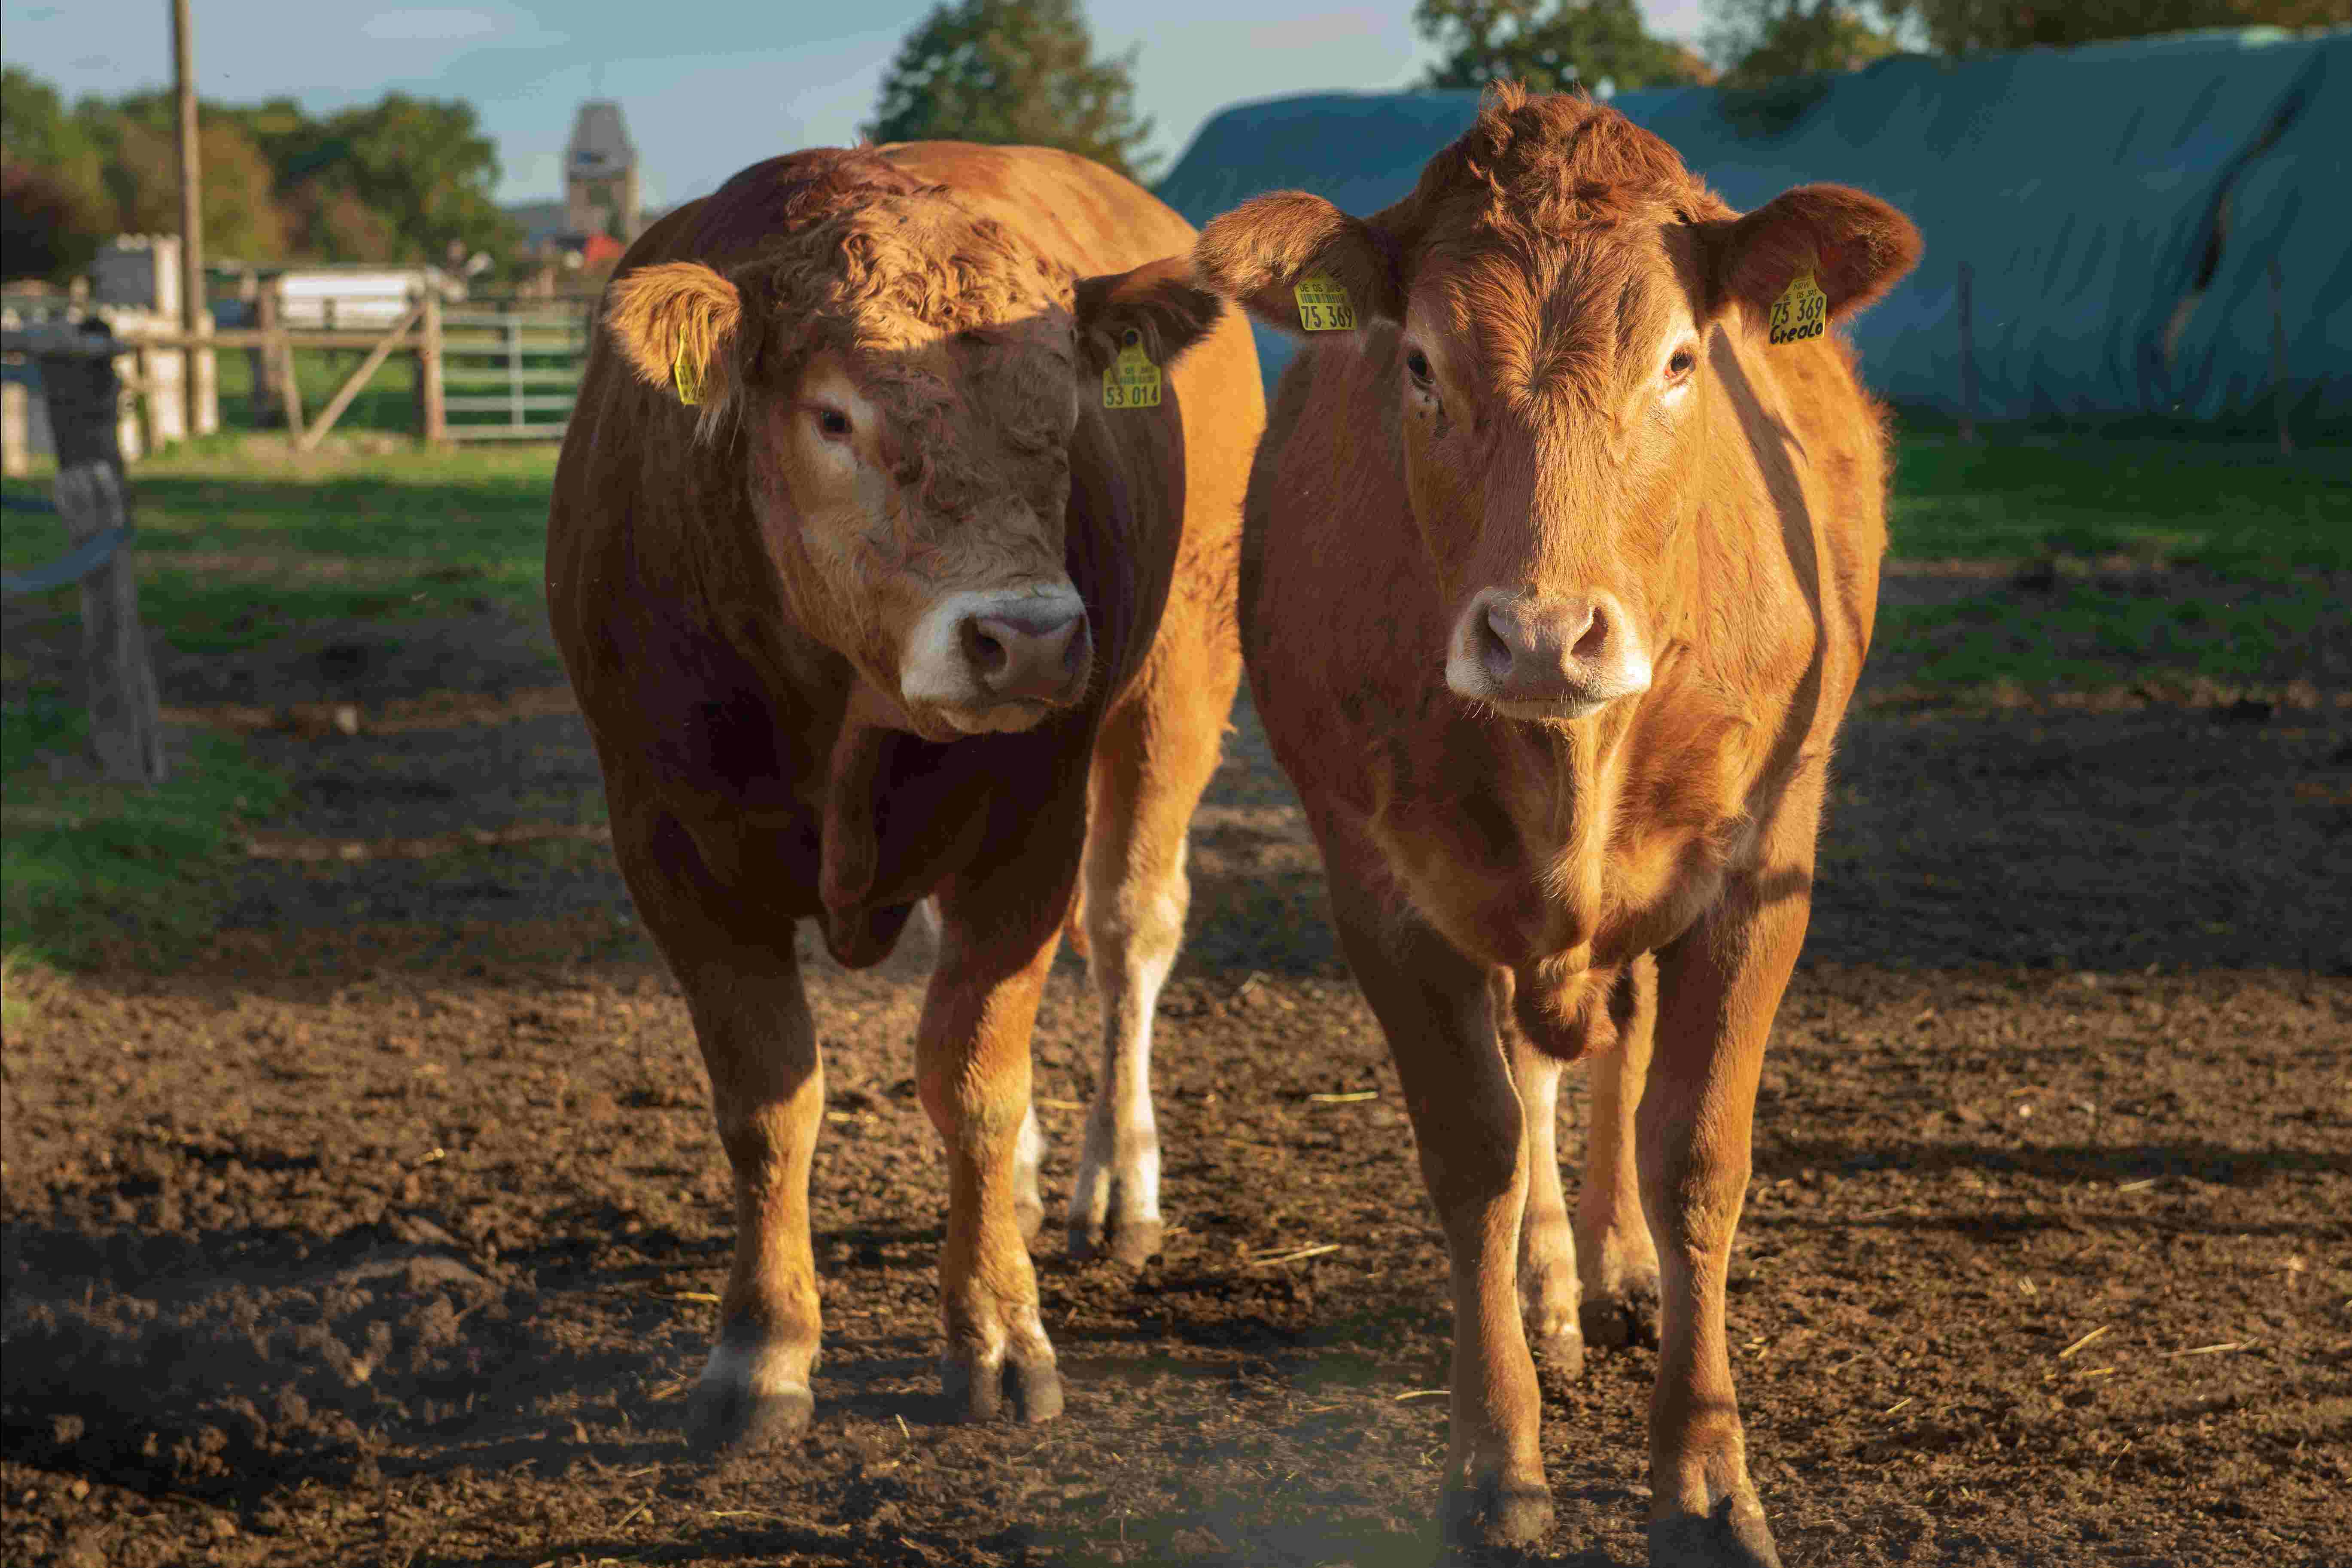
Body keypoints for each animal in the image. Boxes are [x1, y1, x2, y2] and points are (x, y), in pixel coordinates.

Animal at [545, 141, 1270, 1438]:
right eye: (833, 416)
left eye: (1066, 413)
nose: (1026, 639)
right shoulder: (667, 843)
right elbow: (767, 1099)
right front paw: (761, 1346)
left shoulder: (1029, 827)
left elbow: (973, 1079)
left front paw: (997, 1329)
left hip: (1180, 681)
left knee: (1129, 931)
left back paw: (1113, 1182)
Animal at [1195, 88, 1910, 1568]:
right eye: (1416, 363)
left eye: (1682, 359)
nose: (1539, 633)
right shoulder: (1379, 884)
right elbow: (1472, 1147)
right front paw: (1496, 1464)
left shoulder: (1763, 868)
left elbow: (1695, 1154)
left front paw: (1703, 1482)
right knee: (1533, 1074)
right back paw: (1548, 1286)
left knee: (1615, 1049)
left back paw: (1615, 1267)